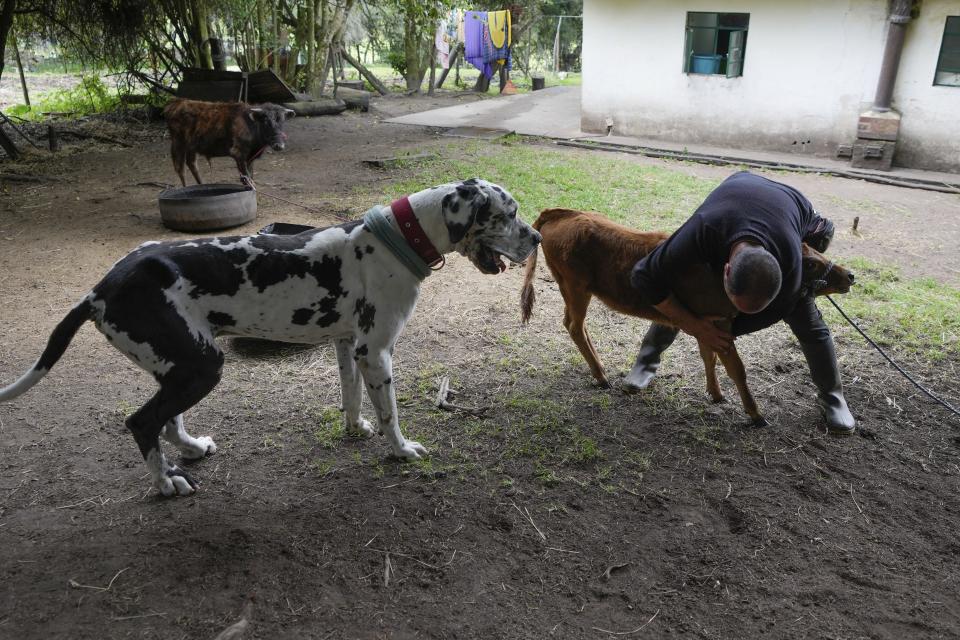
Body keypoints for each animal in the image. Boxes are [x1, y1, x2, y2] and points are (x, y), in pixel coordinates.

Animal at [163, 99, 294, 186]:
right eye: (266, 121)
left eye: (282, 121)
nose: (279, 145)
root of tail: (177, 103)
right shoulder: (238, 153)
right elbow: (246, 178)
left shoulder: (250, 157)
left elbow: (250, 176)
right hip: (178, 142)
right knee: (180, 168)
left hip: (192, 146)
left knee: (191, 164)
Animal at [516, 209, 856, 424]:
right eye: (809, 264)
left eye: (814, 249)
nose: (850, 274)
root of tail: (561, 213)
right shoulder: (719, 325)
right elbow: (736, 368)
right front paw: (755, 413)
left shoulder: (708, 324)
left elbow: (709, 358)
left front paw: (716, 394)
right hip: (576, 286)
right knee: (574, 325)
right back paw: (600, 376)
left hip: (570, 287)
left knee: (574, 324)